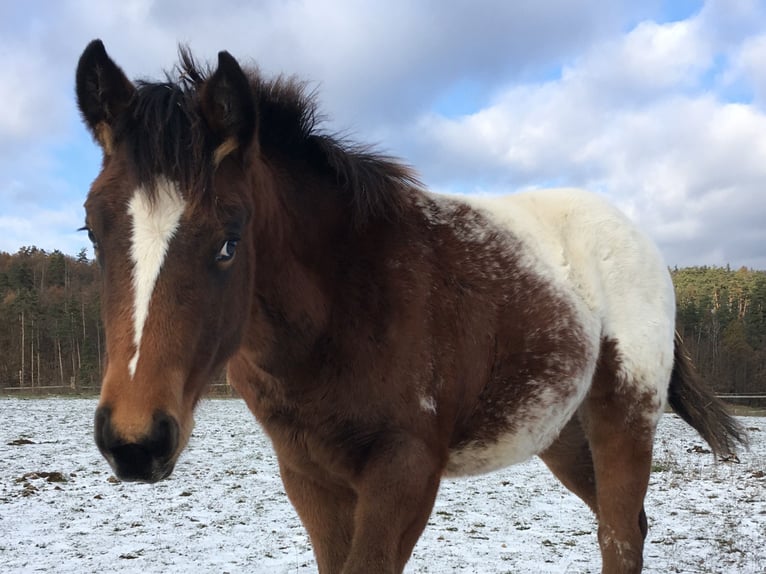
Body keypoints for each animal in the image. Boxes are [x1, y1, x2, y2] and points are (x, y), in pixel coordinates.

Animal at [75, 38, 748, 572]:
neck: (343, 302)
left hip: (624, 418)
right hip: (559, 433)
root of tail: (644, 244)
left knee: (620, 536)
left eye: (229, 241)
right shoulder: (308, 475)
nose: (135, 441)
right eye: (91, 231)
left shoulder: (404, 473)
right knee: (624, 526)